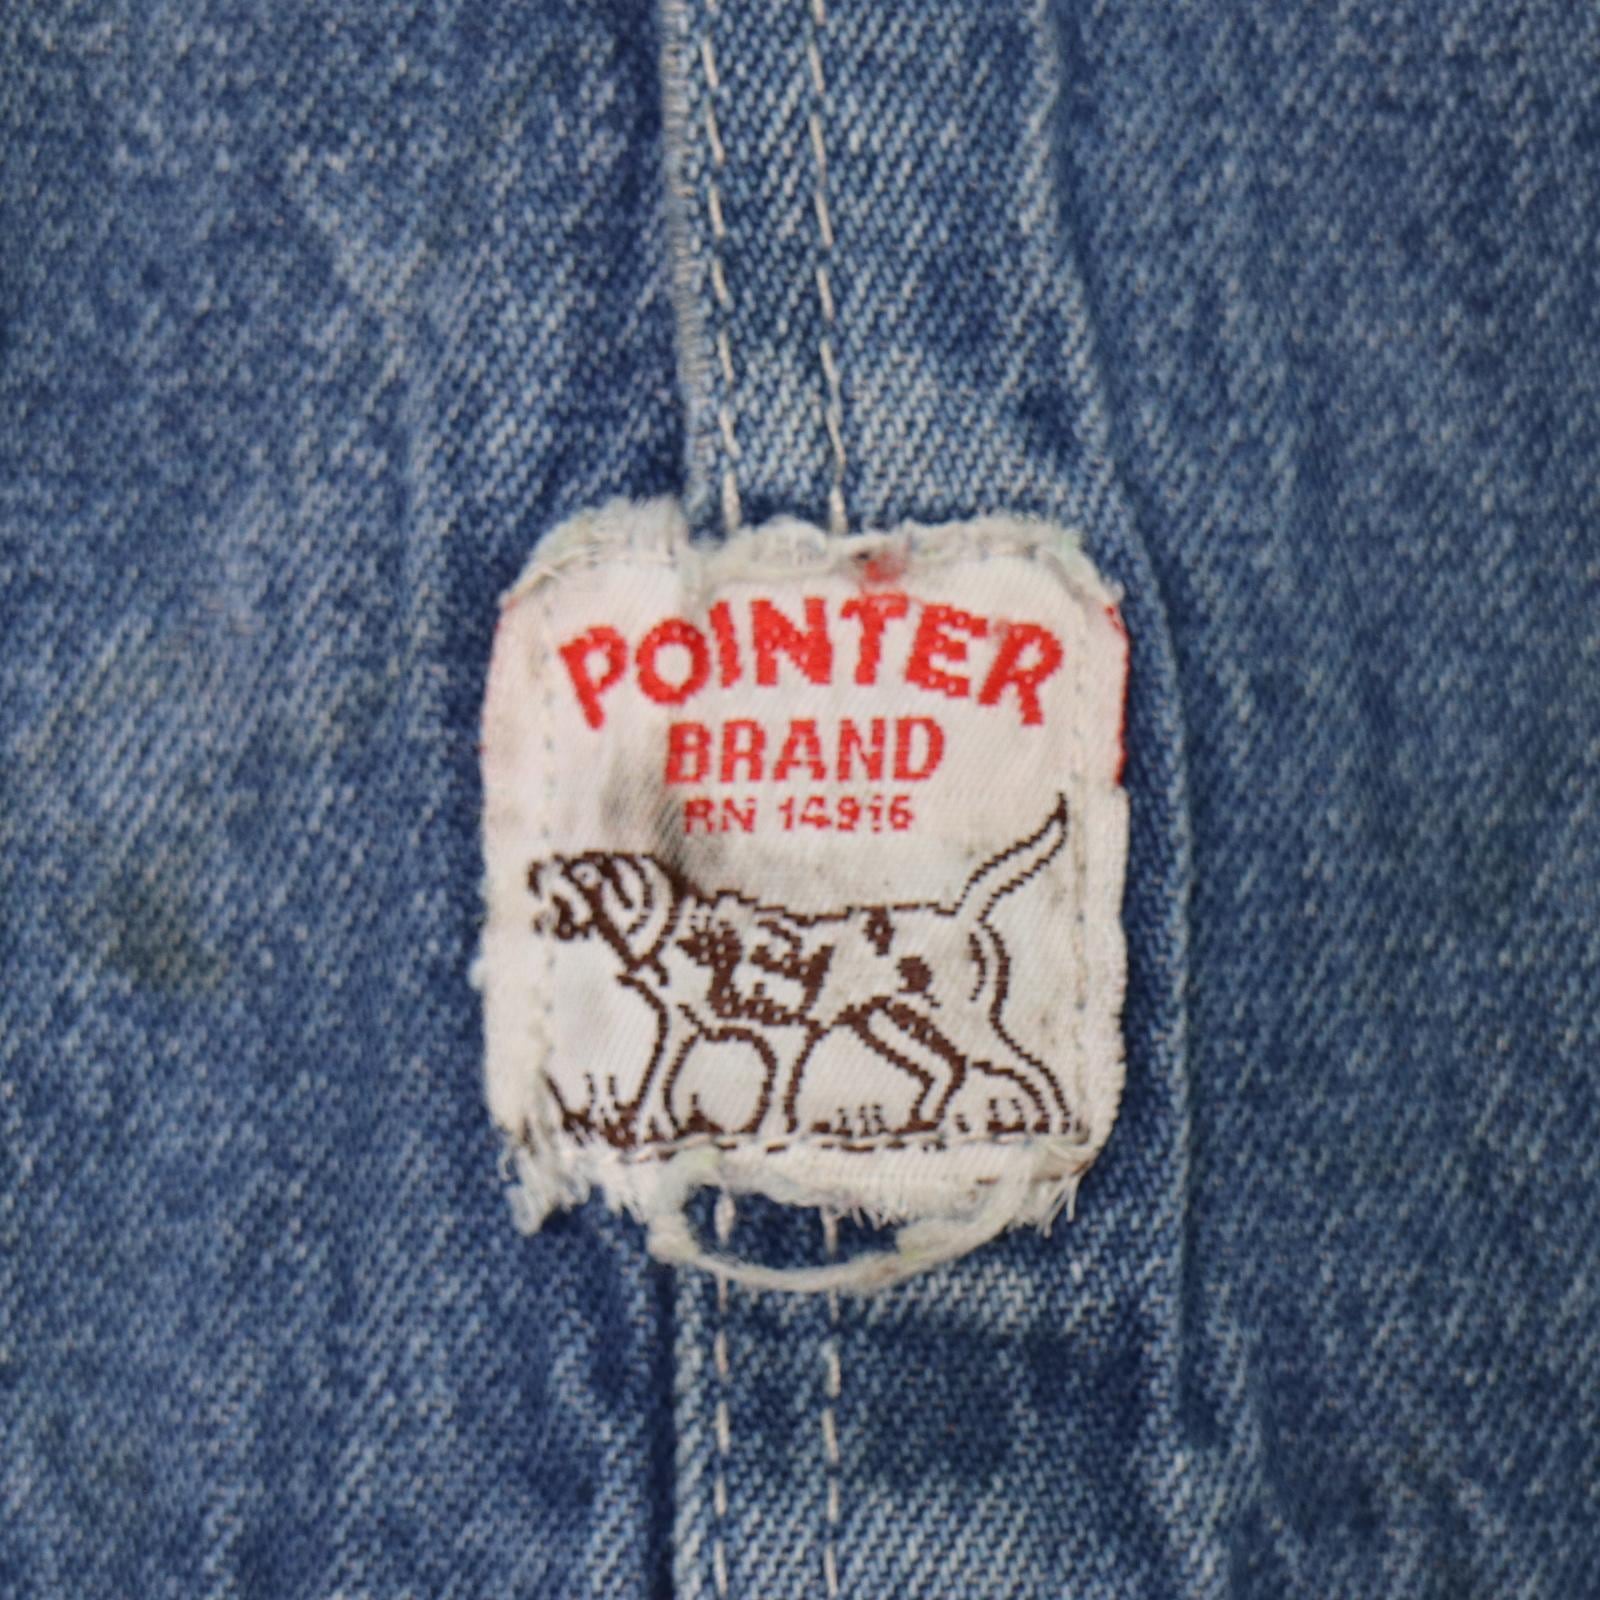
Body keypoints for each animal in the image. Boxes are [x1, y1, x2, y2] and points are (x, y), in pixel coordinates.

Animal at [526, 798, 1072, 1146]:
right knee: (950, 1069)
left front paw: (765, 1133)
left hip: (962, 1022)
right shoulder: (679, 1028)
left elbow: (775, 1089)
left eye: (583, 873)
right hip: (889, 1024)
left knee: (1028, 1066)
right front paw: (645, 1128)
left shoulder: (786, 1034)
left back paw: (1055, 1121)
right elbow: (656, 1079)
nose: (533, 872)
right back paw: (919, 1121)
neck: (679, 931)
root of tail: (961, 913)